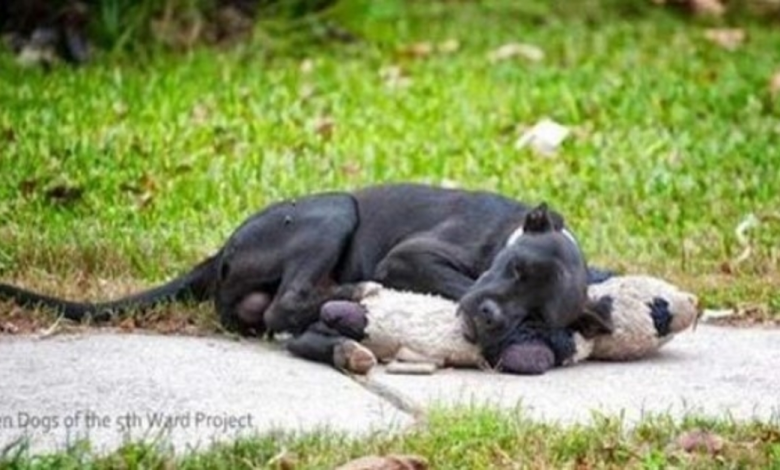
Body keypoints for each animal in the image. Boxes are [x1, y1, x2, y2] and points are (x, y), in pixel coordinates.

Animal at [0, 184, 612, 348]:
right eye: (514, 270)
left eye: (537, 317)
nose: (489, 318)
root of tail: (221, 254)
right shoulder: (411, 256)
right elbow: (453, 281)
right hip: (334, 209)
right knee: (285, 303)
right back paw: (357, 292)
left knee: (276, 309)